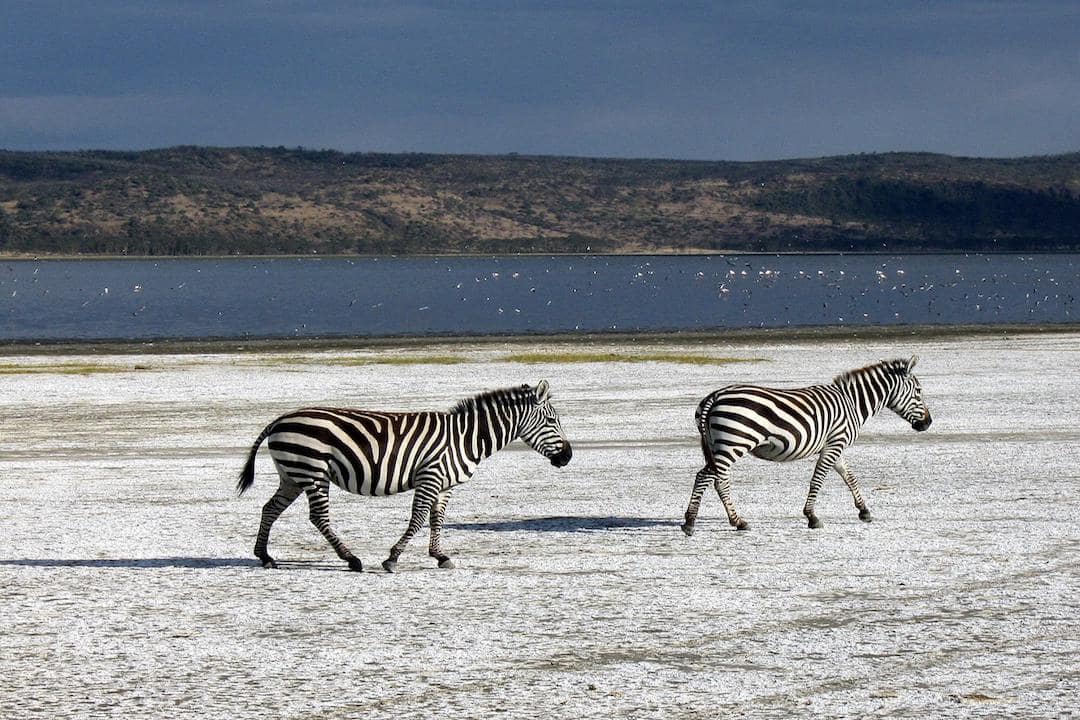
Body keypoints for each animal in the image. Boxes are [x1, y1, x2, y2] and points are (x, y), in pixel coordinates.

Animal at [236, 379, 574, 569]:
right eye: (552, 421)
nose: (568, 457)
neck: (465, 438)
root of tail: (280, 419)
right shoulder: (430, 476)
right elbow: (419, 517)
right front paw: (393, 558)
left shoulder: (445, 484)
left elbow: (437, 519)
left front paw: (440, 556)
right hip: (313, 472)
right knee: (318, 517)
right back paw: (351, 559)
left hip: (293, 475)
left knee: (270, 508)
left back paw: (264, 556)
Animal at [682, 356, 928, 535]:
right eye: (918, 392)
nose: (928, 423)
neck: (852, 403)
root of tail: (714, 396)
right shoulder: (835, 444)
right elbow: (818, 479)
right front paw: (812, 517)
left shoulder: (834, 445)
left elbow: (849, 477)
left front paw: (864, 511)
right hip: (733, 443)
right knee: (711, 479)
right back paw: (717, 522)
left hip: (718, 445)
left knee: (711, 479)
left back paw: (706, 521)